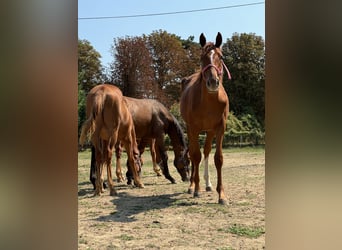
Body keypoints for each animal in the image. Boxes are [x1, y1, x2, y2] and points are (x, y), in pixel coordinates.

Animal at [180, 32, 231, 205]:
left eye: (220, 57)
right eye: (202, 57)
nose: (213, 82)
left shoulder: (220, 128)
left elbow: (218, 158)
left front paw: (221, 195)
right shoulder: (194, 128)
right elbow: (195, 156)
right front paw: (196, 189)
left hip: (209, 131)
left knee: (207, 151)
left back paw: (208, 184)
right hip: (190, 129)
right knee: (193, 153)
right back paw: (192, 186)